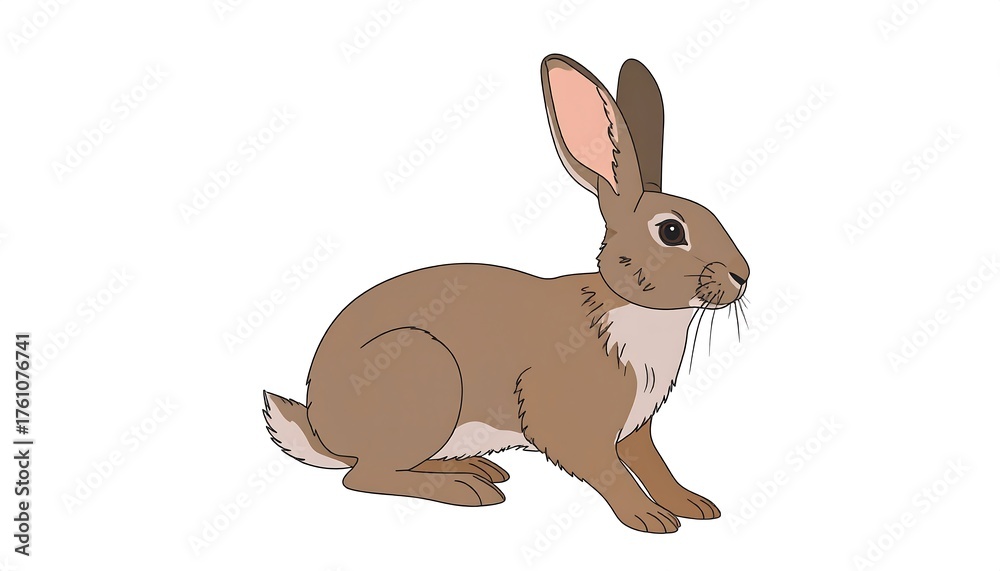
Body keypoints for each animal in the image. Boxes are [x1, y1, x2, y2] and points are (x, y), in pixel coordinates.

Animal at [263, 54, 749, 534]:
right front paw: (649, 518)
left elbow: (653, 465)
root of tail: (322, 429)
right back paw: (467, 490)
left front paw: (693, 505)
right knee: (365, 475)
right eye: (671, 232)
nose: (743, 275)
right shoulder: (570, 421)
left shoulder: (634, 428)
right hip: (424, 376)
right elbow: (607, 470)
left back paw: (479, 470)